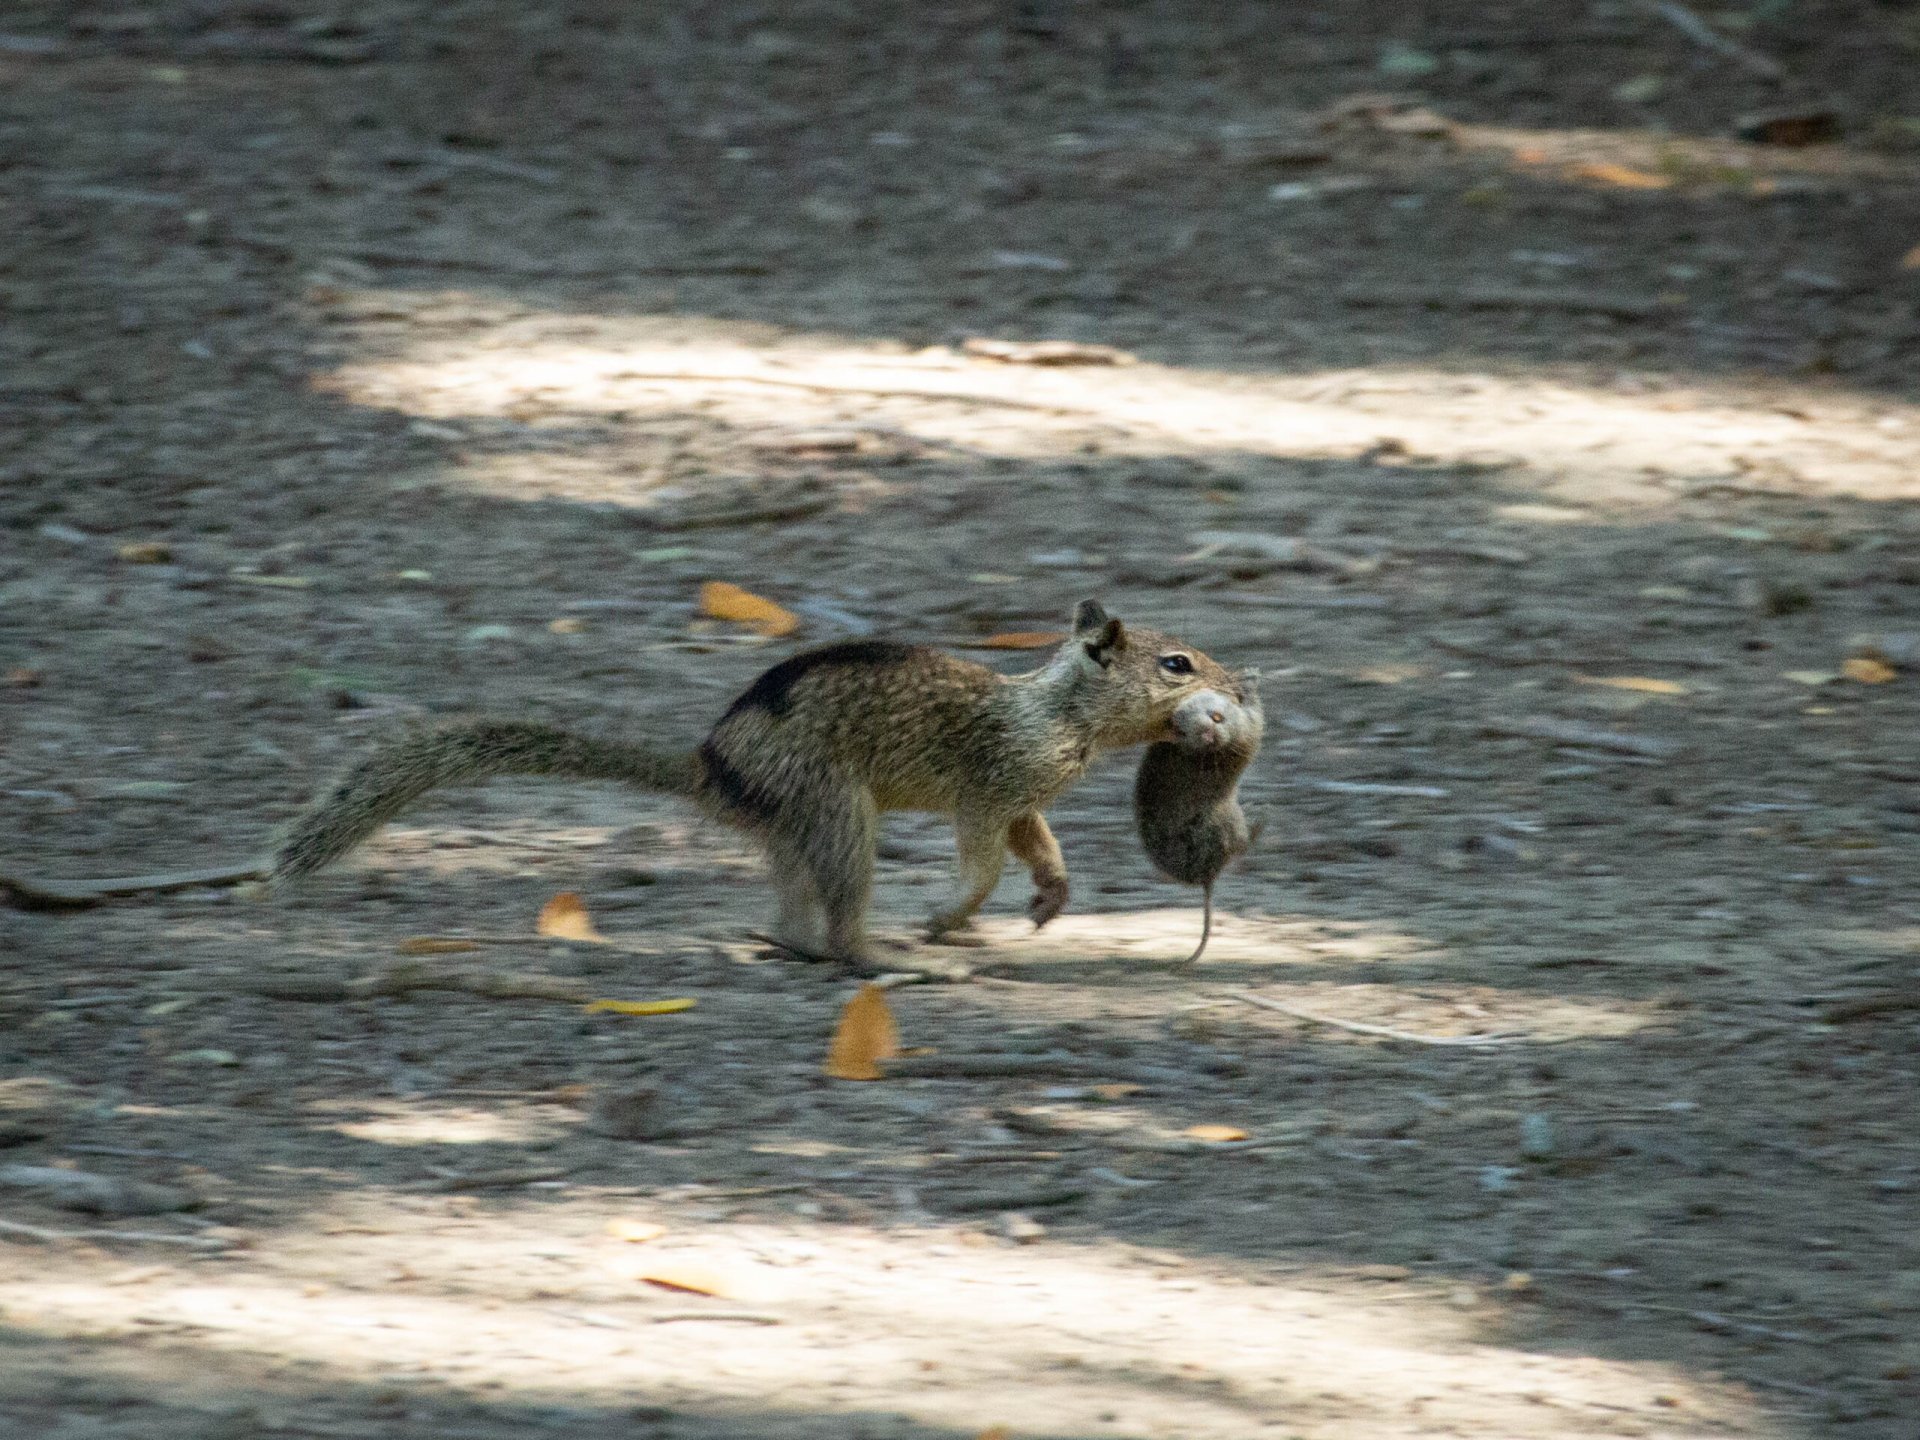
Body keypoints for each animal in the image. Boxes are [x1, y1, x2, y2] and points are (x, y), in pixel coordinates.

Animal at [274, 602, 1228, 975]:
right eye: (1176, 664)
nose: (1237, 684)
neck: (1057, 710)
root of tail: (709, 765)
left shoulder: (1025, 796)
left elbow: (1041, 845)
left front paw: (1051, 897)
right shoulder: (991, 788)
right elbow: (986, 857)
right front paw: (949, 914)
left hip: (799, 826)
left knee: (795, 909)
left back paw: (788, 942)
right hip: (838, 810)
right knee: (840, 922)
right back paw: (883, 955)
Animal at [1128, 675, 1267, 971]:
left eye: (1216, 717)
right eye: (1182, 731)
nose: (1209, 736)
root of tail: (1207, 876)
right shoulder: (1249, 730)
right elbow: (1255, 712)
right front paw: (1249, 679)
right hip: (1228, 821)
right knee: (1242, 844)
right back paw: (1262, 814)